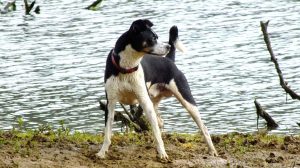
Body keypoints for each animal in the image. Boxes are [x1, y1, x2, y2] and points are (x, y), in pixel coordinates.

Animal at [97, 19, 217, 159]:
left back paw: (212, 150)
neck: (126, 68)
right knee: (161, 122)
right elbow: (107, 133)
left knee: (203, 128)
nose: (168, 46)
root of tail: (169, 60)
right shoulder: (110, 103)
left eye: (157, 37)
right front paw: (102, 152)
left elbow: (156, 134)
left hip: (186, 101)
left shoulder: (144, 101)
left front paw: (162, 154)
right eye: (153, 38)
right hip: (154, 103)